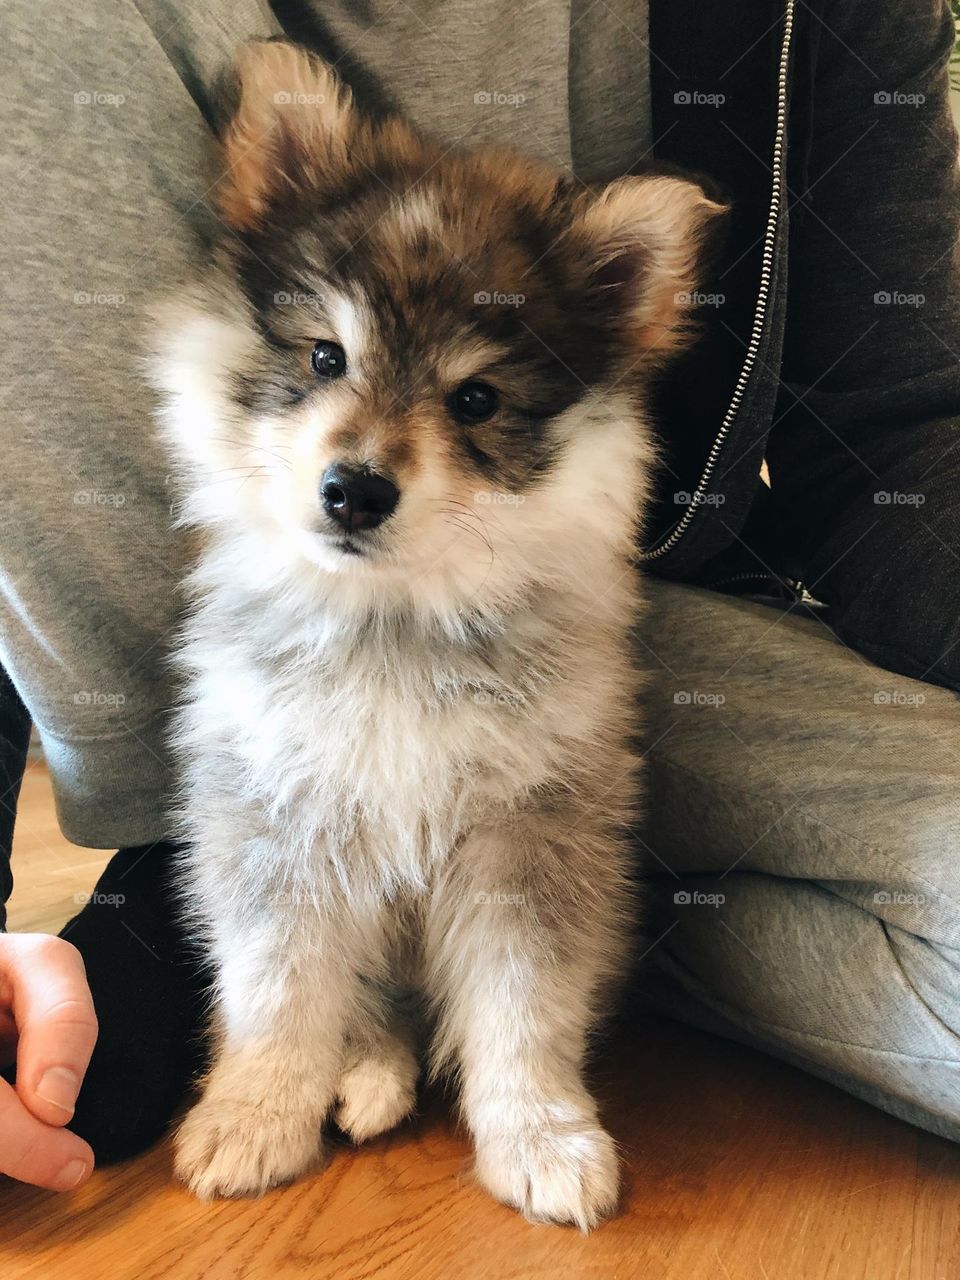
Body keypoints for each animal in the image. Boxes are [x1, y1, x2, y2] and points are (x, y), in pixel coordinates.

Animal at [152, 40, 721, 1228]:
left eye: (476, 399)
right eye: (326, 357)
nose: (355, 489)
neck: (393, 622)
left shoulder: (528, 834)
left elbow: (522, 1005)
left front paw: (542, 1134)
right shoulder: (276, 817)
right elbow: (278, 990)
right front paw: (255, 1113)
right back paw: (365, 1065)